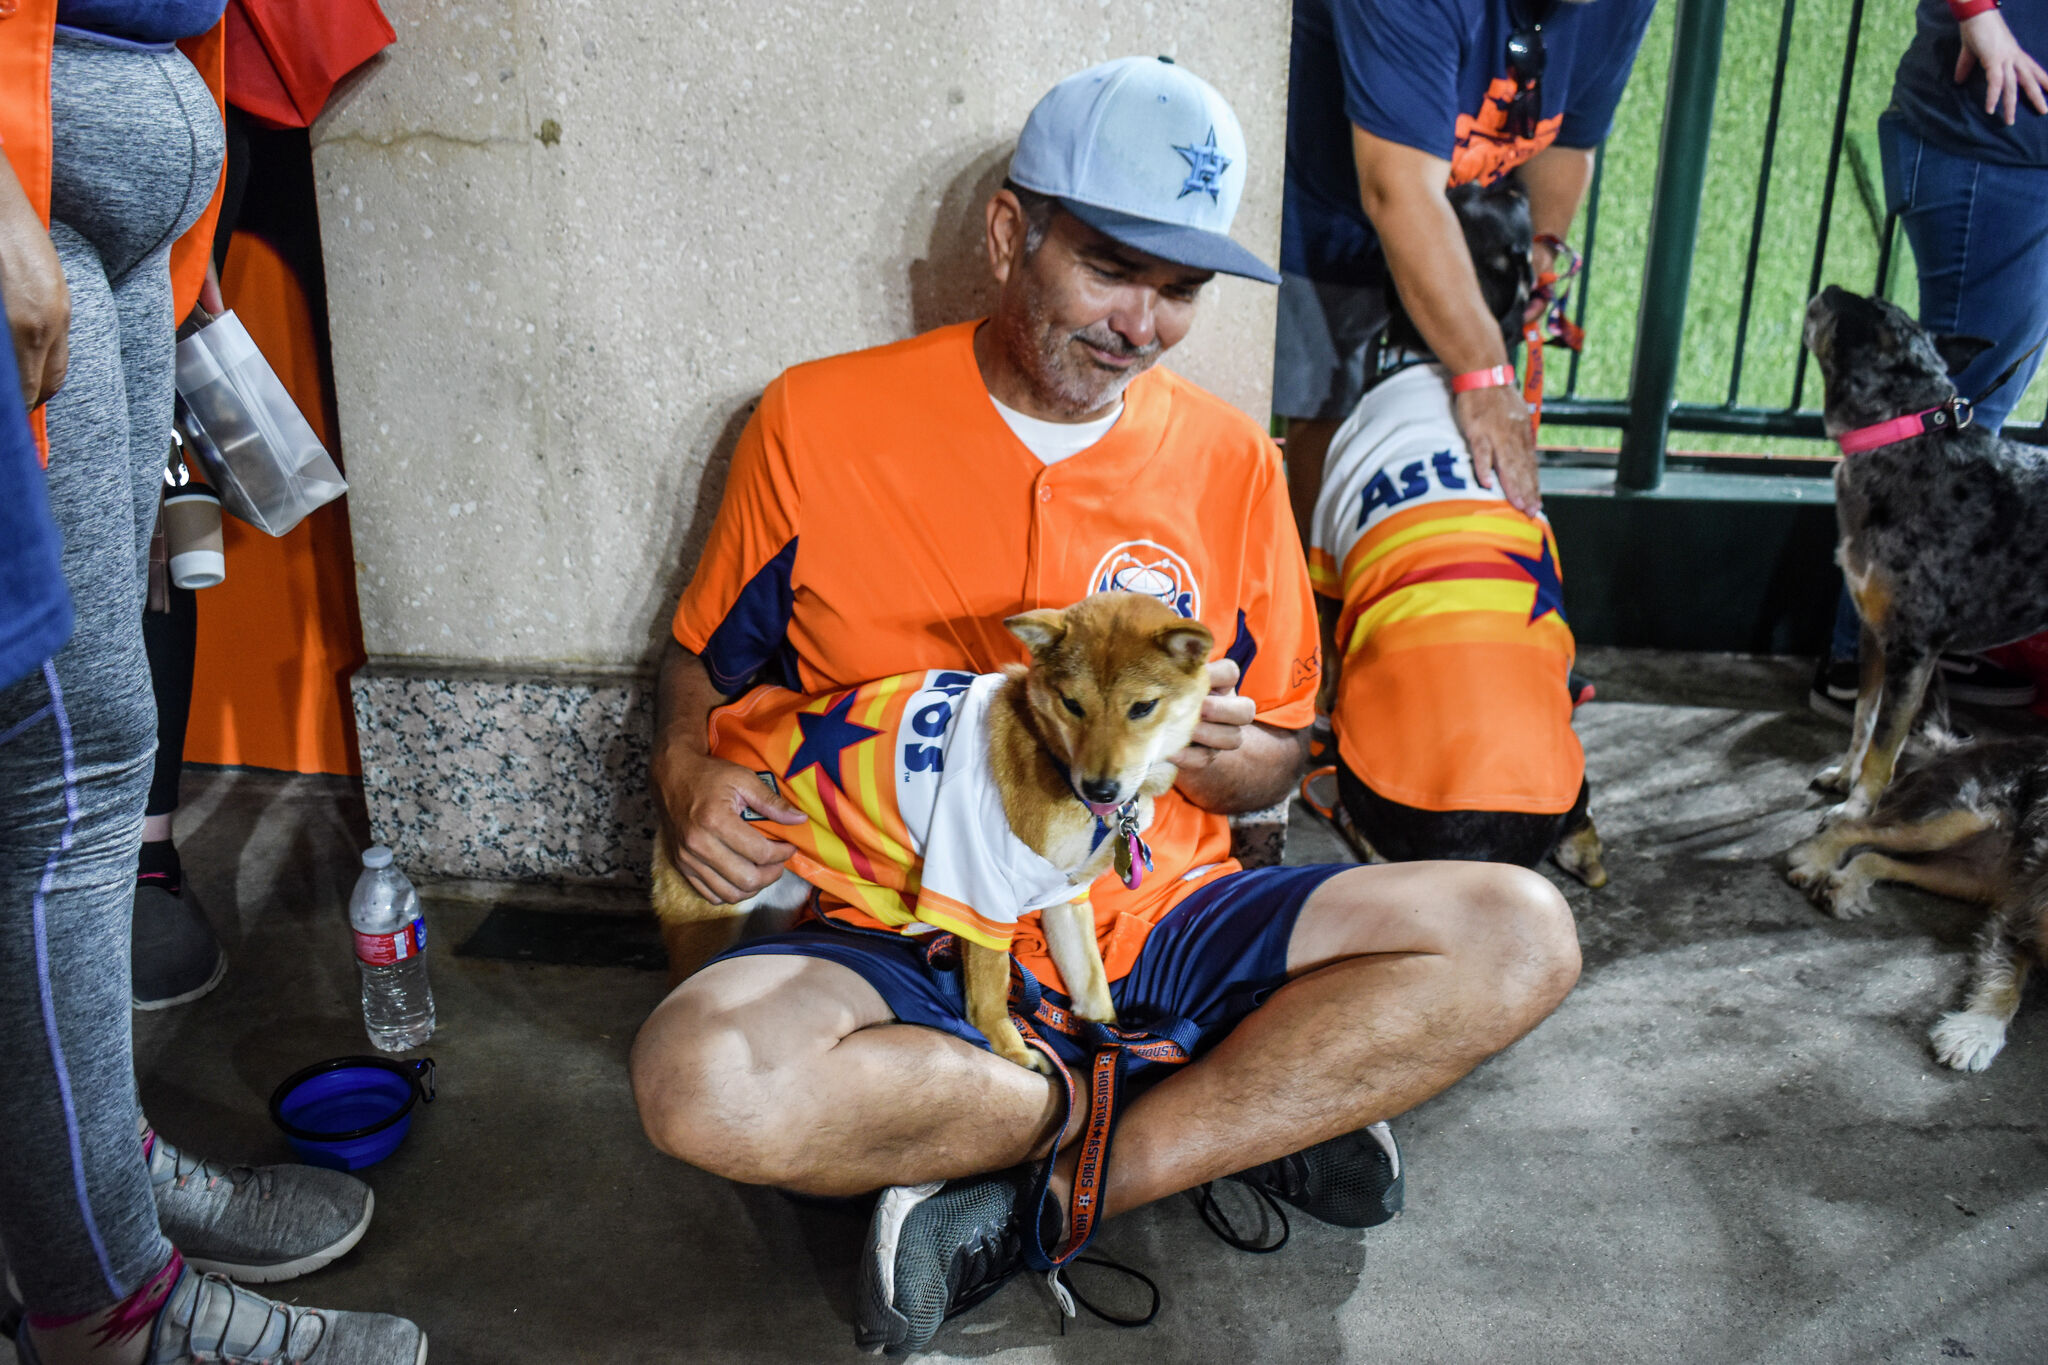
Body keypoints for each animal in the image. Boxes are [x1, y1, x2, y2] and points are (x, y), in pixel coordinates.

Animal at [651, 593, 1212, 1072]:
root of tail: (720, 730)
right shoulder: (980, 892)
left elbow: (1093, 991)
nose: (1100, 788)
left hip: (775, 902)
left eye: (1142, 708)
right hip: (712, 916)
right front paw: (1012, 1050)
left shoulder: (1065, 898)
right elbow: (990, 993)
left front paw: (1109, 1045)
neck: (1051, 754)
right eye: (1072, 704)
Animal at [1802, 286, 2048, 822]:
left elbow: (1884, 743)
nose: (1829, 287)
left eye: (1852, 306)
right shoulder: (1874, 633)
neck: (1899, 437)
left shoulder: (1912, 650)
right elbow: (1864, 719)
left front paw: (1857, 808)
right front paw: (1845, 776)